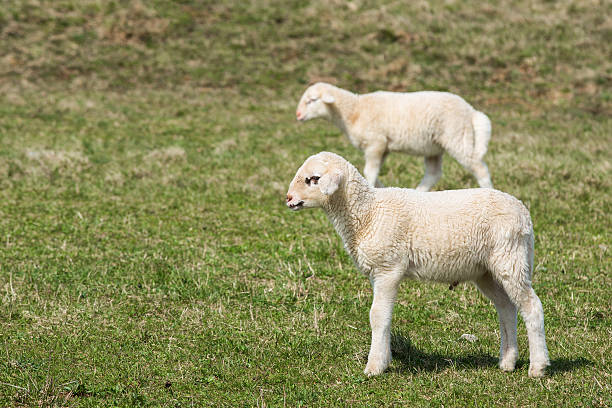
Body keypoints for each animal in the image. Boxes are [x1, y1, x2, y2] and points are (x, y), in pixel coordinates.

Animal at [286, 151, 548, 378]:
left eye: (313, 179)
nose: (288, 199)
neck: (368, 213)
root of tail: (525, 214)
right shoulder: (377, 272)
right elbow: (384, 315)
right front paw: (385, 359)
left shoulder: (388, 268)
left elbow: (377, 315)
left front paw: (374, 367)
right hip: (486, 271)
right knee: (507, 307)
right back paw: (507, 361)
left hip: (510, 258)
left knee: (531, 306)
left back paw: (537, 367)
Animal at [296, 83, 492, 192]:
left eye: (312, 100)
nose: (298, 115)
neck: (353, 111)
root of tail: (471, 111)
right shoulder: (383, 148)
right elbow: (373, 172)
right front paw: (379, 187)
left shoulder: (375, 143)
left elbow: (370, 171)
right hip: (434, 147)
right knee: (433, 174)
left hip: (458, 137)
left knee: (478, 167)